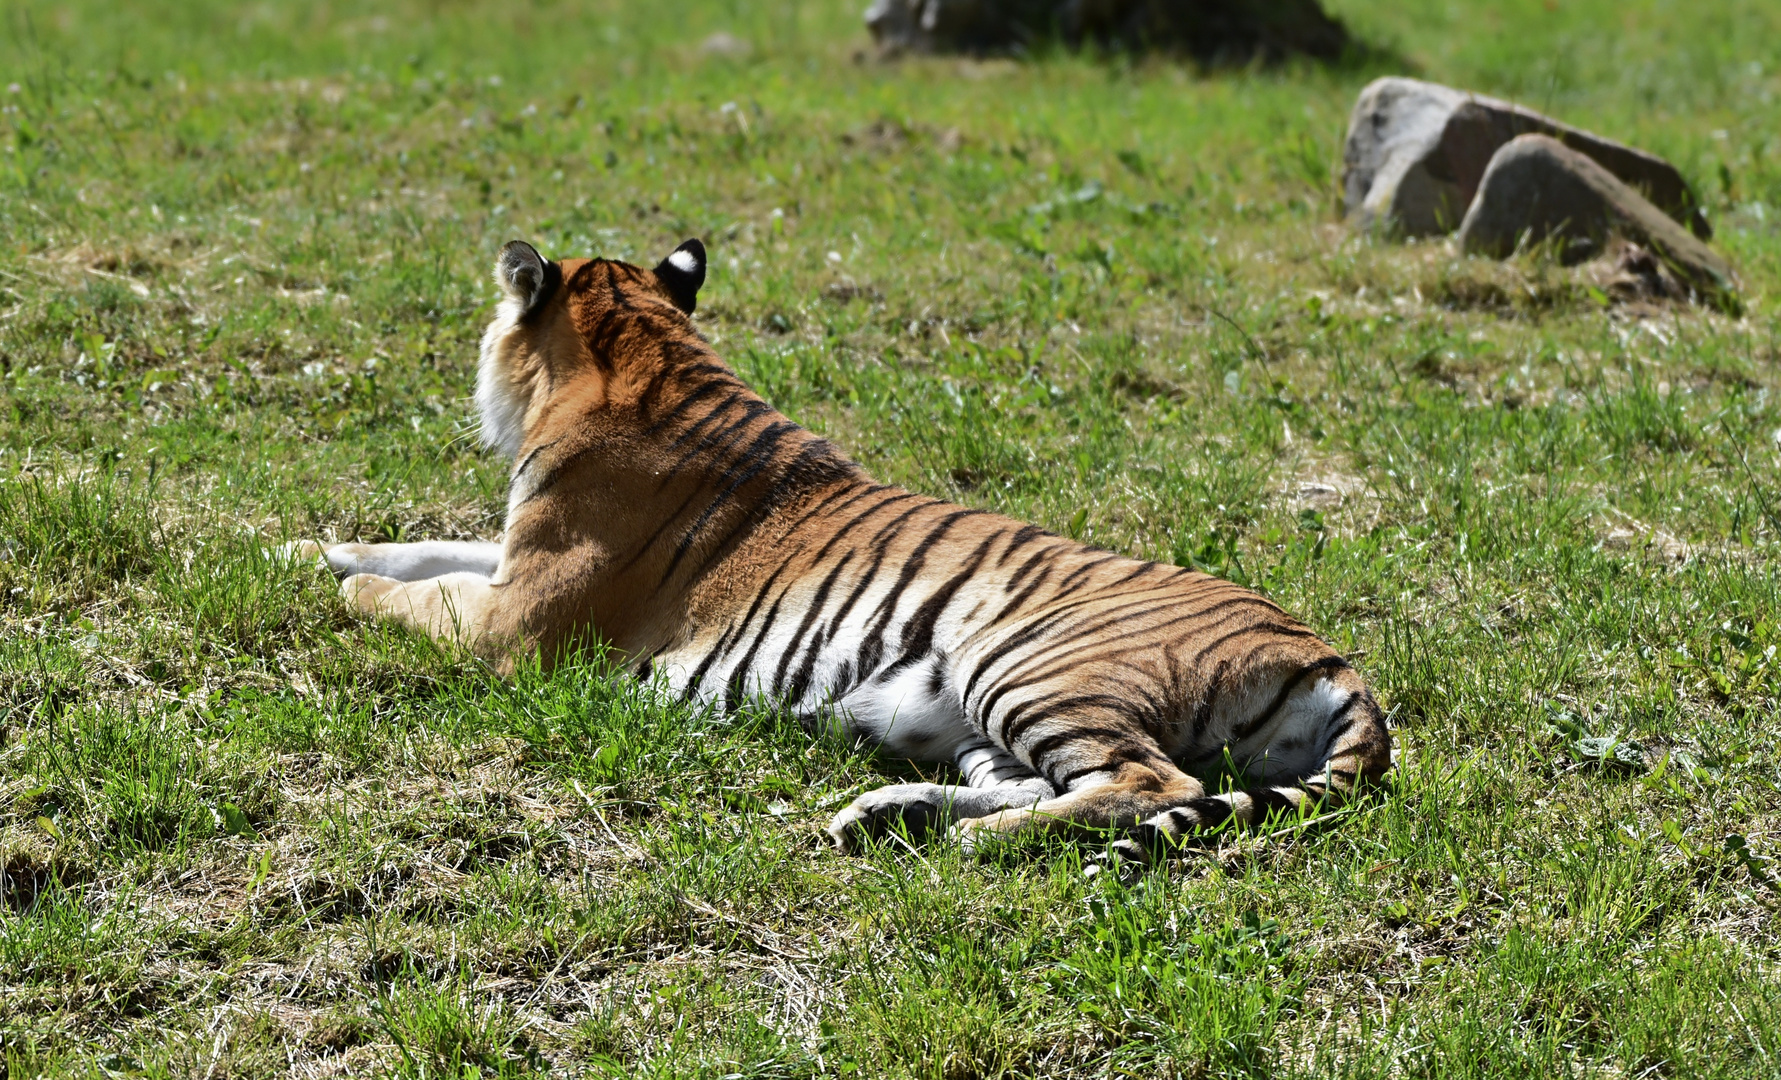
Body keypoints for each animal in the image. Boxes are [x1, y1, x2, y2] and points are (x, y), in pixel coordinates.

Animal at [295, 240, 1389, 859]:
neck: (640, 352)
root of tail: (1329, 657)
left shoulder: (516, 622)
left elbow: (412, 595)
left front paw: (329, 584)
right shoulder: (512, 567)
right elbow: (430, 549)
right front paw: (309, 546)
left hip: (1029, 665)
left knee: (1151, 786)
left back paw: (963, 843)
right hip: (972, 712)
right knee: (1054, 782)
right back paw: (884, 814)